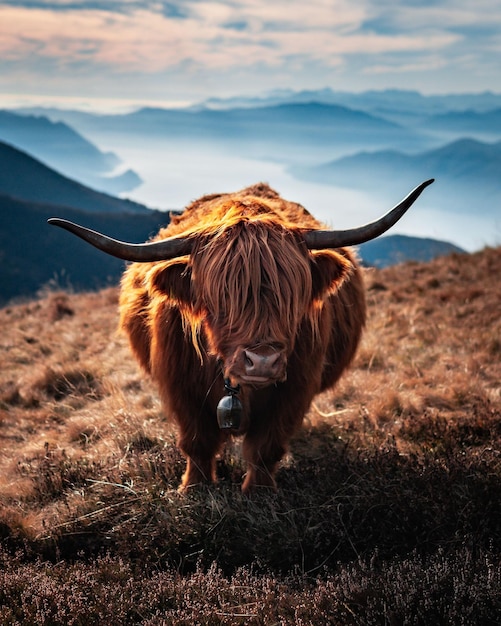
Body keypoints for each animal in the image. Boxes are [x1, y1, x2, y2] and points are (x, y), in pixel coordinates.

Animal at [48, 179, 432, 492]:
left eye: (292, 296)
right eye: (220, 299)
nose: (262, 361)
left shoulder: (295, 388)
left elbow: (266, 446)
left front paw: (258, 493)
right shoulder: (179, 385)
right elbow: (197, 442)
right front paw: (193, 490)